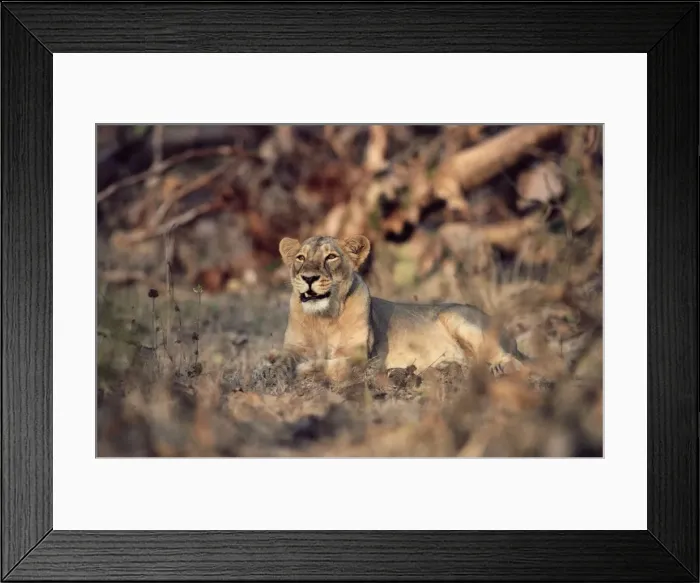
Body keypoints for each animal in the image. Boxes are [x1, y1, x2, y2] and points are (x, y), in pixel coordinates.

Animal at [278, 234, 528, 383]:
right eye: (300, 258)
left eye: (331, 257)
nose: (309, 278)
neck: (324, 318)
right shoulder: (293, 348)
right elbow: (284, 360)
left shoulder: (360, 357)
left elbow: (334, 367)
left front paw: (306, 369)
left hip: (458, 318)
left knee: (516, 362)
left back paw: (498, 370)